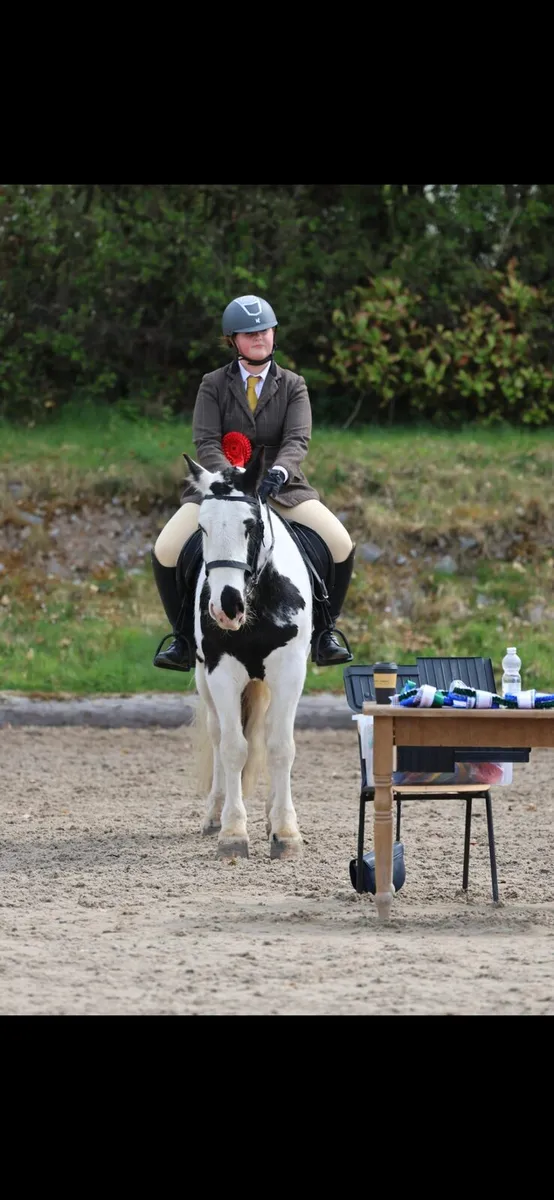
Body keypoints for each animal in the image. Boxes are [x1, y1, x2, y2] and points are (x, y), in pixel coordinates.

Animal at [183, 446, 313, 861]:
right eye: (202, 528)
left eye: (249, 525)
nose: (227, 606)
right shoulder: (221, 672)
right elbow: (233, 748)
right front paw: (233, 832)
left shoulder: (290, 671)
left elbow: (281, 747)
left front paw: (285, 832)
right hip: (204, 678)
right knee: (218, 735)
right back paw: (214, 814)